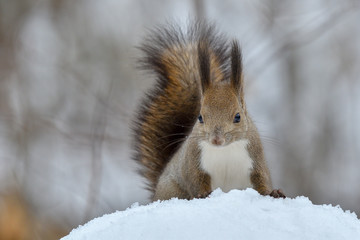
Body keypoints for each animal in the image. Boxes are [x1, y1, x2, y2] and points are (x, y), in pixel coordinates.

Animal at [131, 21, 284, 201]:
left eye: (238, 116)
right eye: (200, 117)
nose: (216, 140)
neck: (225, 151)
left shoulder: (255, 158)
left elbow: (262, 181)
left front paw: (274, 192)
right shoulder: (193, 161)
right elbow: (195, 180)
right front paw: (203, 194)